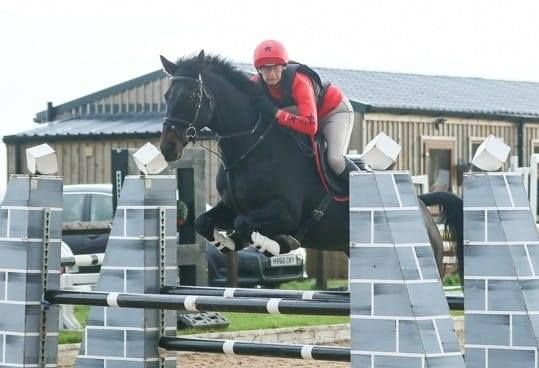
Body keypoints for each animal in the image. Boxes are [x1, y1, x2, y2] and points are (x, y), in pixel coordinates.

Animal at [157, 50, 464, 278]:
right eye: (167, 95)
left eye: (191, 96)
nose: (167, 147)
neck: (250, 146)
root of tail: (422, 207)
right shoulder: (231, 206)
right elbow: (204, 222)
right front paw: (229, 241)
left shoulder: (286, 213)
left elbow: (246, 225)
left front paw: (273, 243)